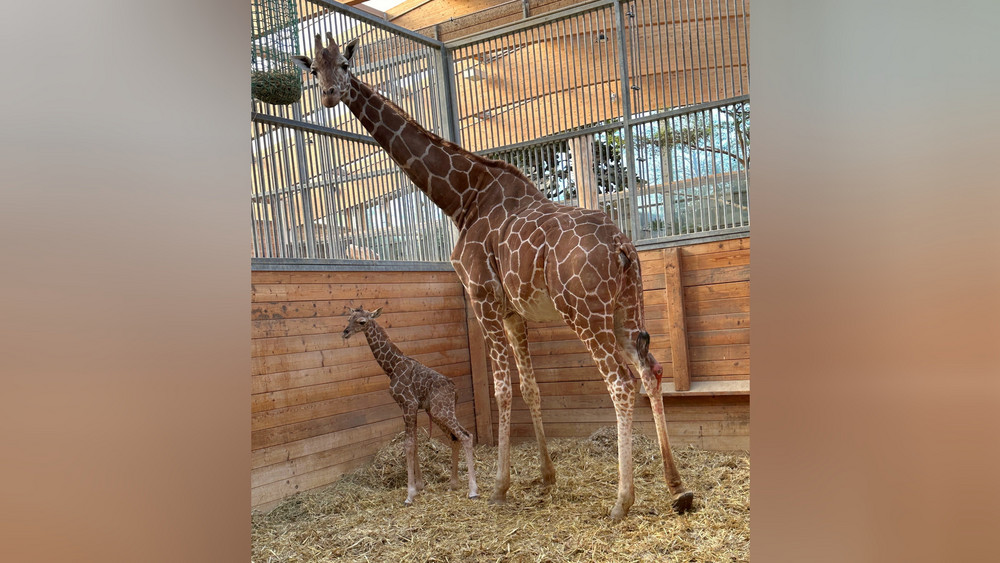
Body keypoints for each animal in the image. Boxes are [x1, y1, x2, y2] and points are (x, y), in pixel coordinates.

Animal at [344, 306, 480, 504]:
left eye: (362, 321)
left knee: (466, 436)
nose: (345, 332)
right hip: (438, 412)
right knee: (454, 438)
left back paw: (473, 490)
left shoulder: (409, 404)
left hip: (441, 411)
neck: (392, 367)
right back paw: (453, 484)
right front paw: (419, 486)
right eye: (349, 319)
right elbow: (414, 442)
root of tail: (455, 391)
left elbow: (408, 444)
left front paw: (410, 494)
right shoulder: (408, 406)